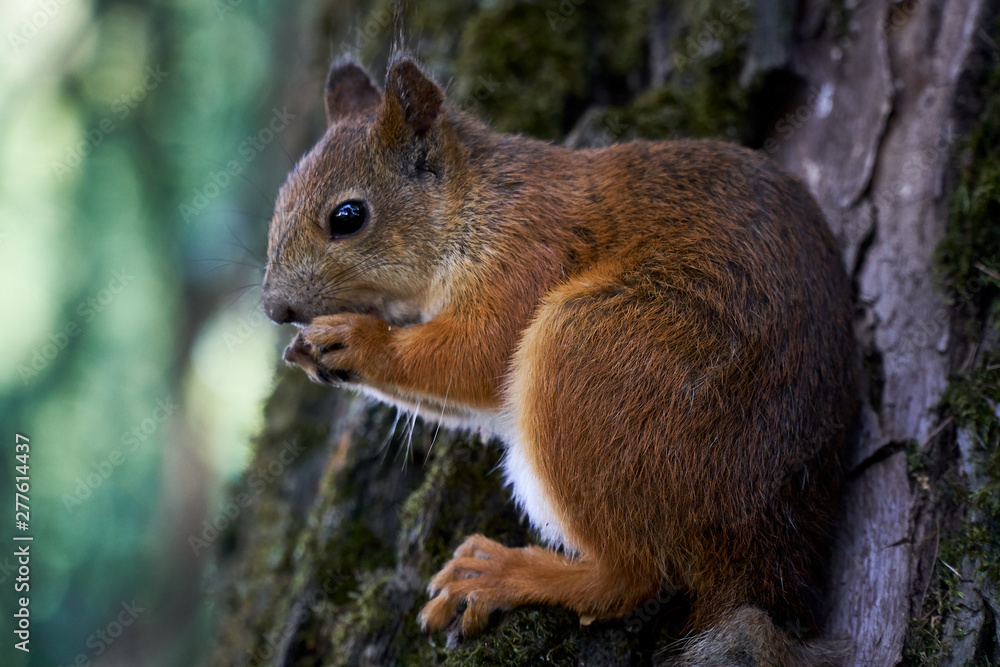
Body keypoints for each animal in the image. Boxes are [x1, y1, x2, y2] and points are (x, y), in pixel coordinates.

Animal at [260, 57, 860, 667]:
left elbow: (476, 356)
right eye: (279, 201)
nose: (273, 308)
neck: (475, 203)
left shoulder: (527, 253)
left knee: (629, 579)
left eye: (348, 216)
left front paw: (357, 340)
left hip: (592, 355)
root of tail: (756, 563)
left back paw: (502, 575)